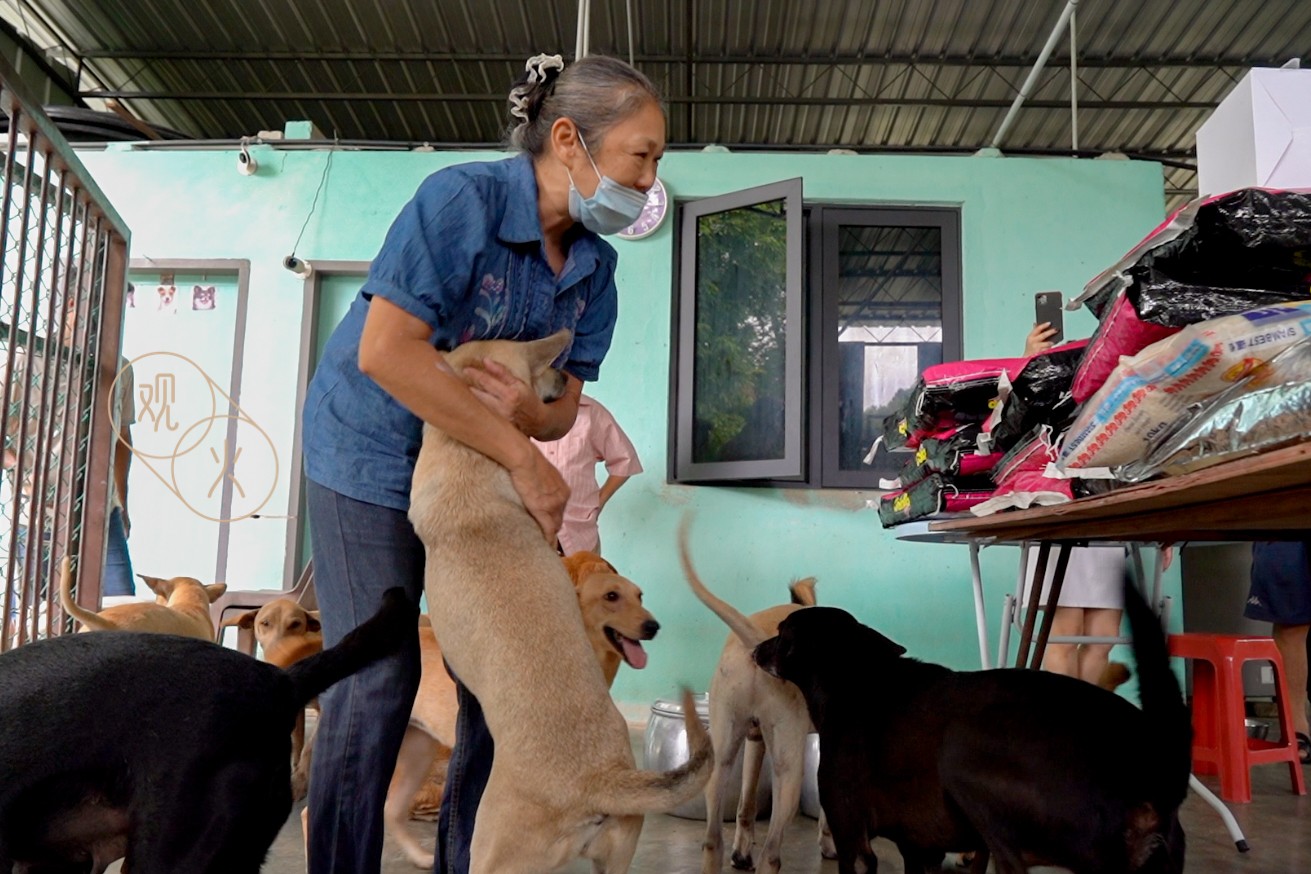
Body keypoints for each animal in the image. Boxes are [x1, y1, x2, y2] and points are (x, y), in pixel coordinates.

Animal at [681, 526, 833, 874]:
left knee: (713, 841)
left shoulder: (755, 741)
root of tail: (758, 644)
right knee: (771, 854)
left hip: (722, 754)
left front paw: (741, 851)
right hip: (788, 772)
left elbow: (746, 804)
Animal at [755, 573, 1195, 874]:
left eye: (782, 634)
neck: (855, 679)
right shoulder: (920, 849)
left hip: (965, 761)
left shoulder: (852, 838)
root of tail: (1155, 762)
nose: (756, 649)